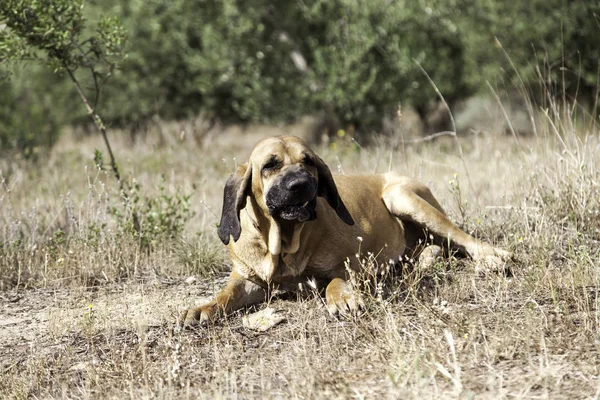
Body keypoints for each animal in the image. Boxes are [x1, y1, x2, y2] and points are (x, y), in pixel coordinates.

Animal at [180, 136, 508, 326]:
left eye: (308, 162)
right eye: (270, 165)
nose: (301, 184)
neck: (283, 242)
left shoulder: (354, 264)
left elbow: (335, 280)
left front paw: (342, 298)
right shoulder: (249, 280)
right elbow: (225, 294)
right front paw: (203, 307)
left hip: (402, 196)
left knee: (462, 238)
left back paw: (492, 257)